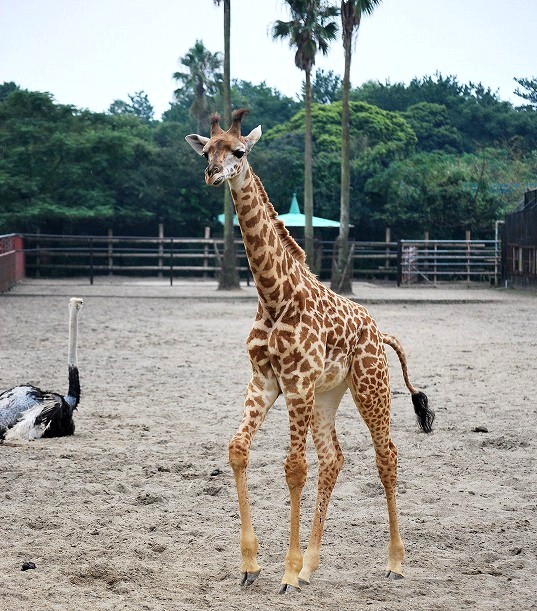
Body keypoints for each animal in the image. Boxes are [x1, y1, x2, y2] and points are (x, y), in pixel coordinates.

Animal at [186, 109, 434, 592]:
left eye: (239, 151)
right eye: (207, 152)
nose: (212, 174)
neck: (273, 294)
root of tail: (380, 332)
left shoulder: (295, 382)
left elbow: (294, 467)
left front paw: (287, 572)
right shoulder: (265, 379)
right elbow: (238, 450)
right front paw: (252, 566)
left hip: (369, 386)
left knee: (386, 456)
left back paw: (394, 562)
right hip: (326, 395)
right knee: (334, 458)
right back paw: (314, 563)